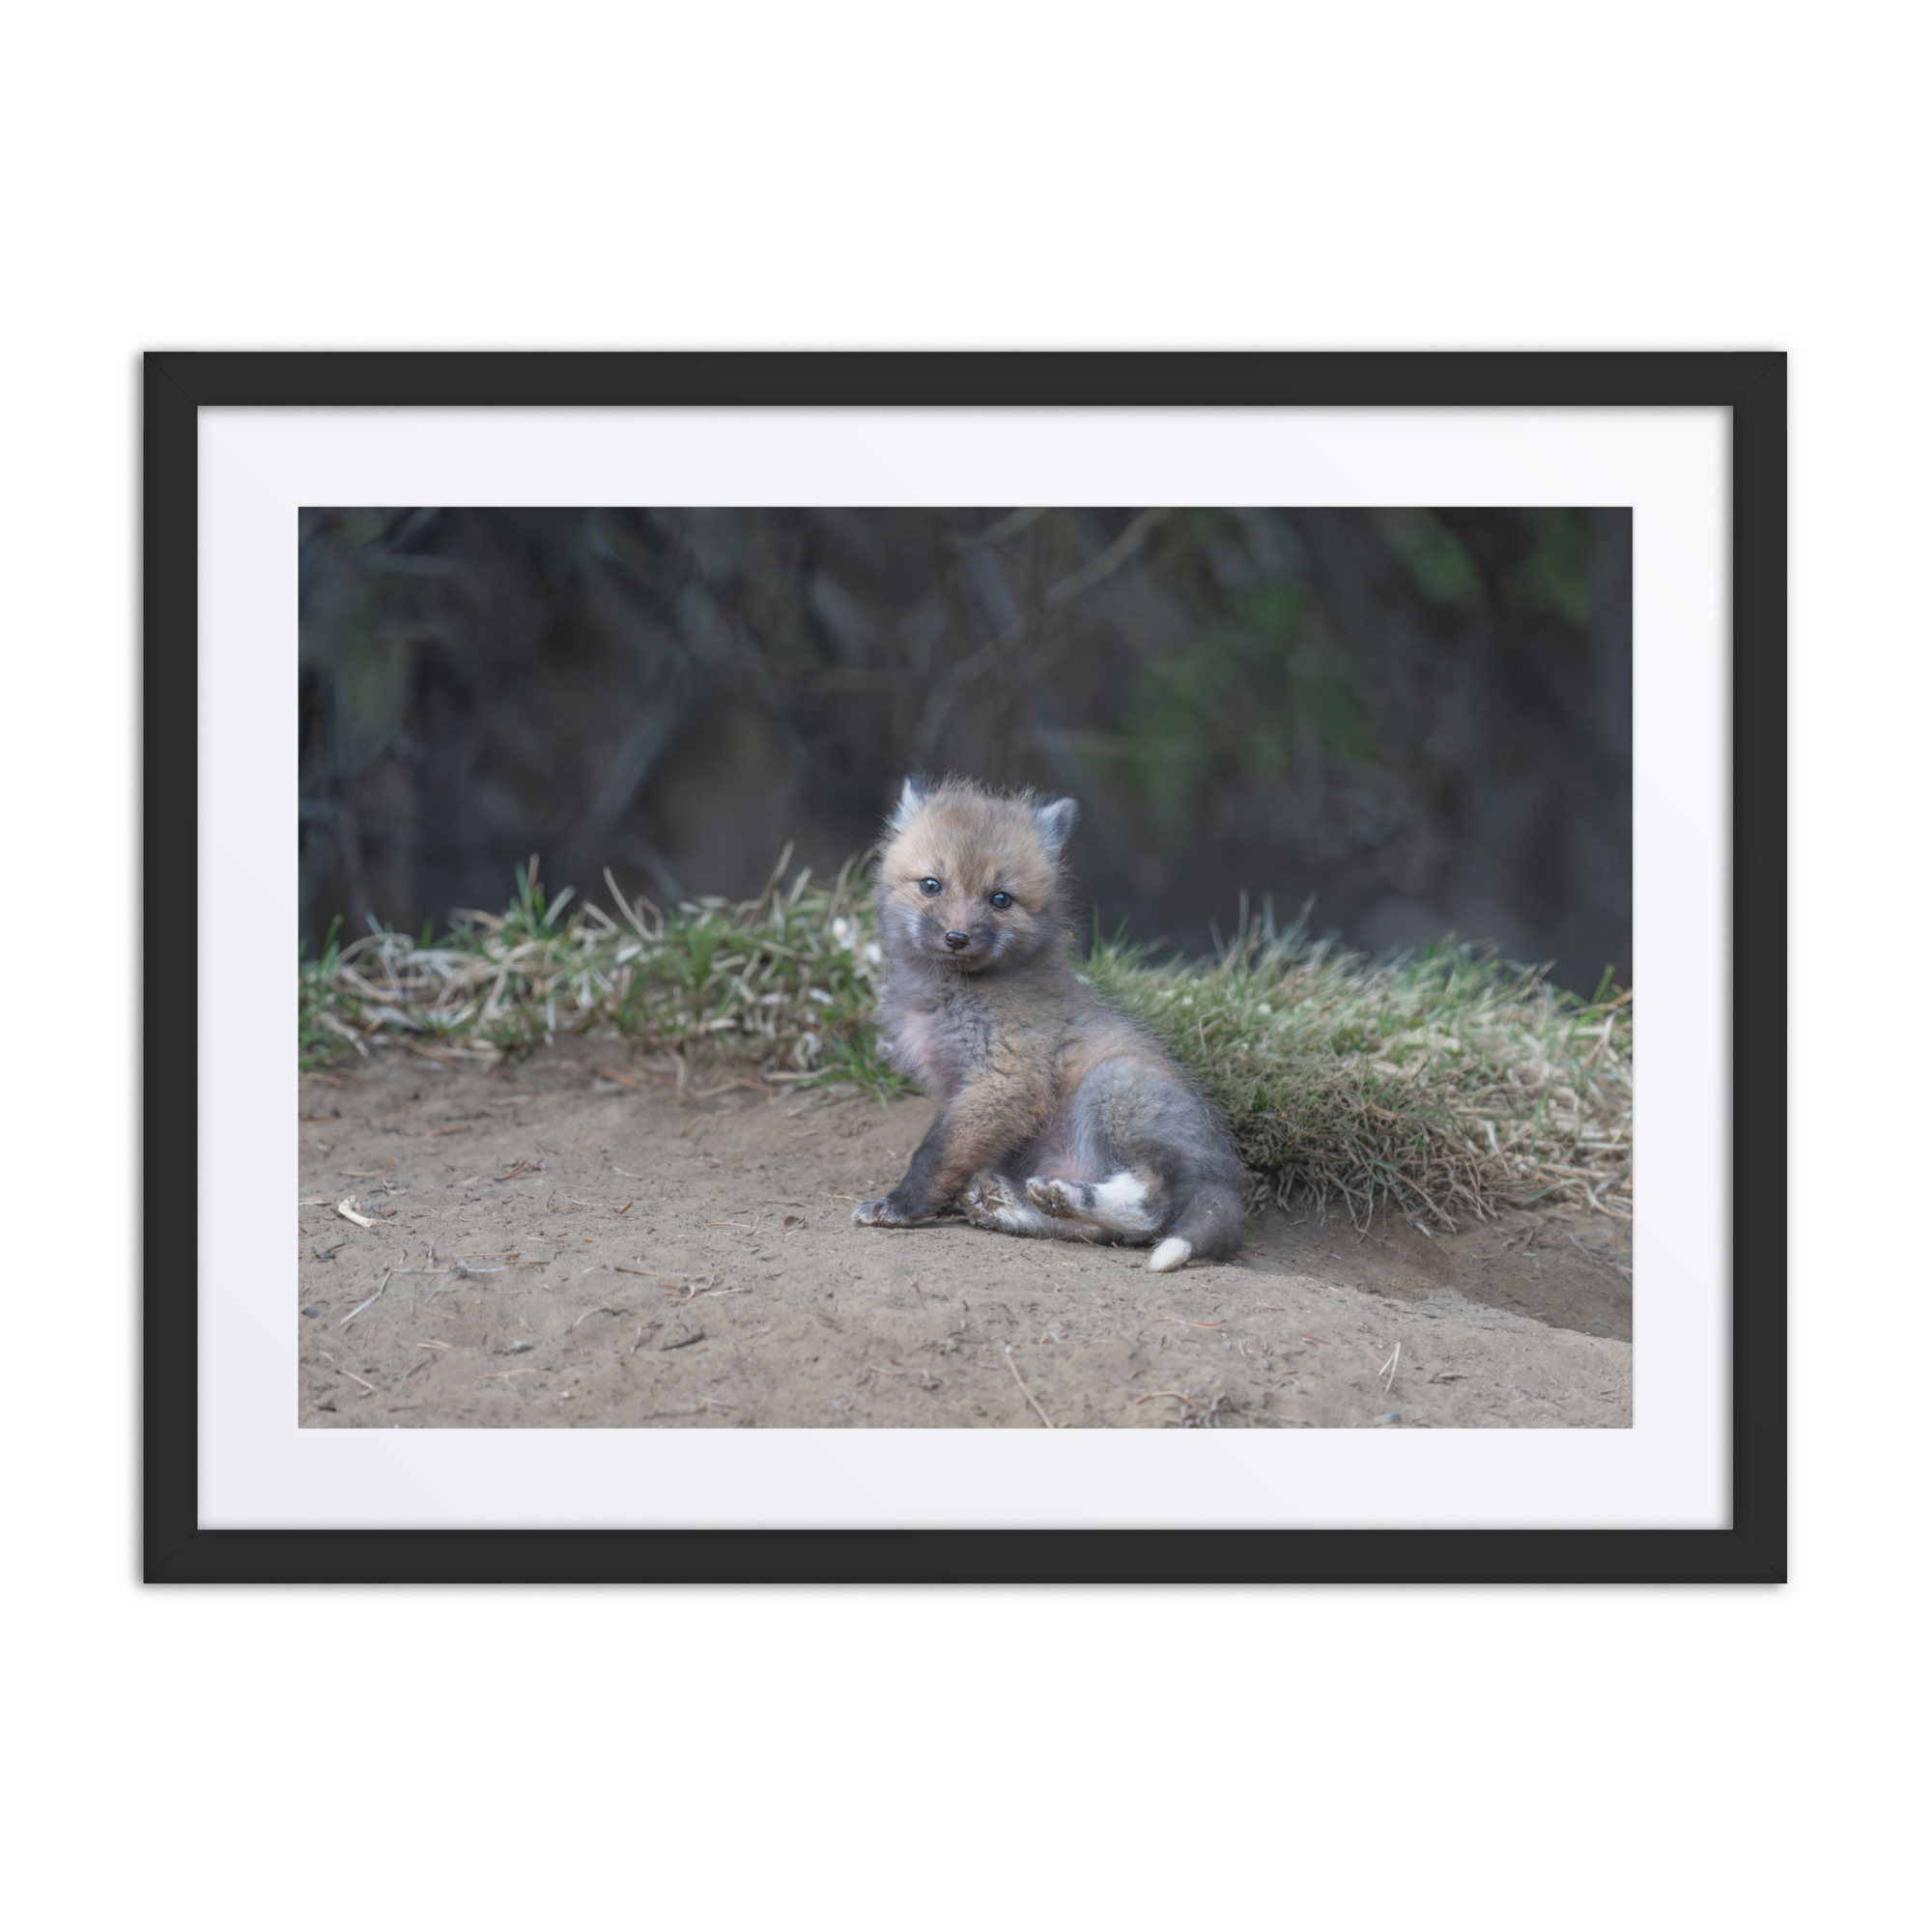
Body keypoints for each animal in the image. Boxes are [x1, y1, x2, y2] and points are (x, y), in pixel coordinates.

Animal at [850, 777, 1246, 1271]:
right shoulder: (963, 1089)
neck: (950, 994)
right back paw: (1012, 1206)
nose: (957, 938)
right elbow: (952, 1153)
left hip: (1113, 1088)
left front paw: (901, 1205)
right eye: (931, 885)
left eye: (1000, 899)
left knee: (1150, 1207)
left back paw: (1062, 1195)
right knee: (1107, 1233)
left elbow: (935, 1153)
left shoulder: (1006, 1078)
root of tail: (1225, 1176)